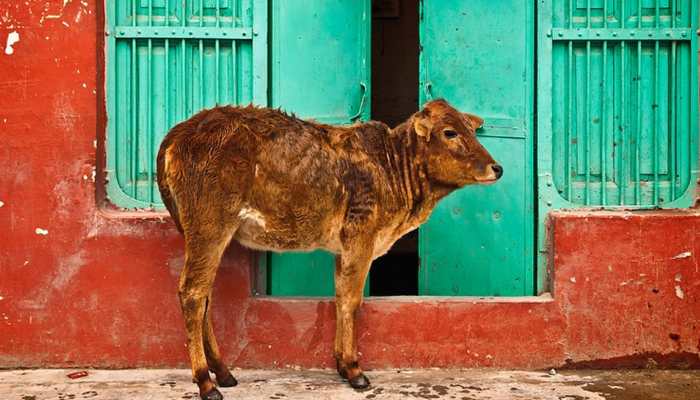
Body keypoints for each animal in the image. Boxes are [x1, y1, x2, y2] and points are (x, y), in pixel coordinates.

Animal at [156, 98, 500, 398]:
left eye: (471, 129)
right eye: (450, 132)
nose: (497, 168)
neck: (393, 169)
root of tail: (180, 131)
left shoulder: (343, 248)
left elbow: (339, 297)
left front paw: (341, 364)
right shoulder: (361, 237)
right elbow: (351, 301)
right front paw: (354, 370)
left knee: (205, 296)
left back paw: (224, 372)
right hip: (210, 226)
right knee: (192, 293)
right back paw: (206, 382)